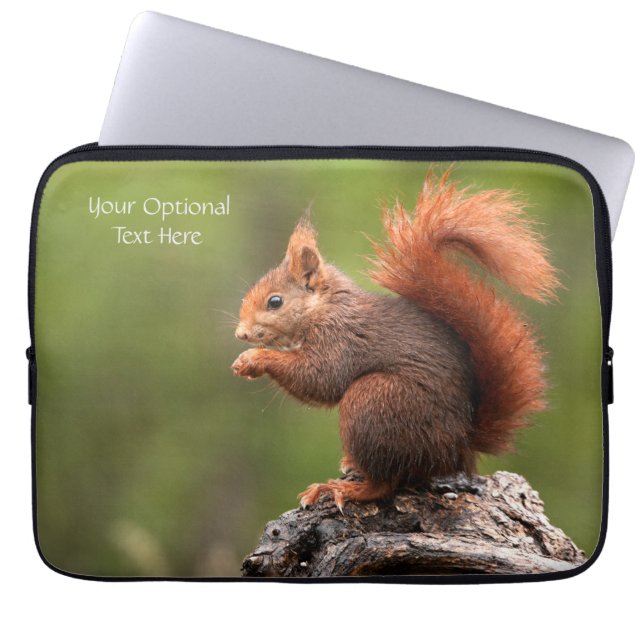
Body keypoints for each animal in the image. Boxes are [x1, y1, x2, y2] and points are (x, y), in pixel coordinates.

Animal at [232, 168, 560, 510]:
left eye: (275, 302)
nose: (241, 333)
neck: (324, 307)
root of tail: (460, 447)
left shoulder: (340, 338)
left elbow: (321, 378)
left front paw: (255, 359)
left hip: (374, 402)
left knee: (386, 482)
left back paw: (345, 489)